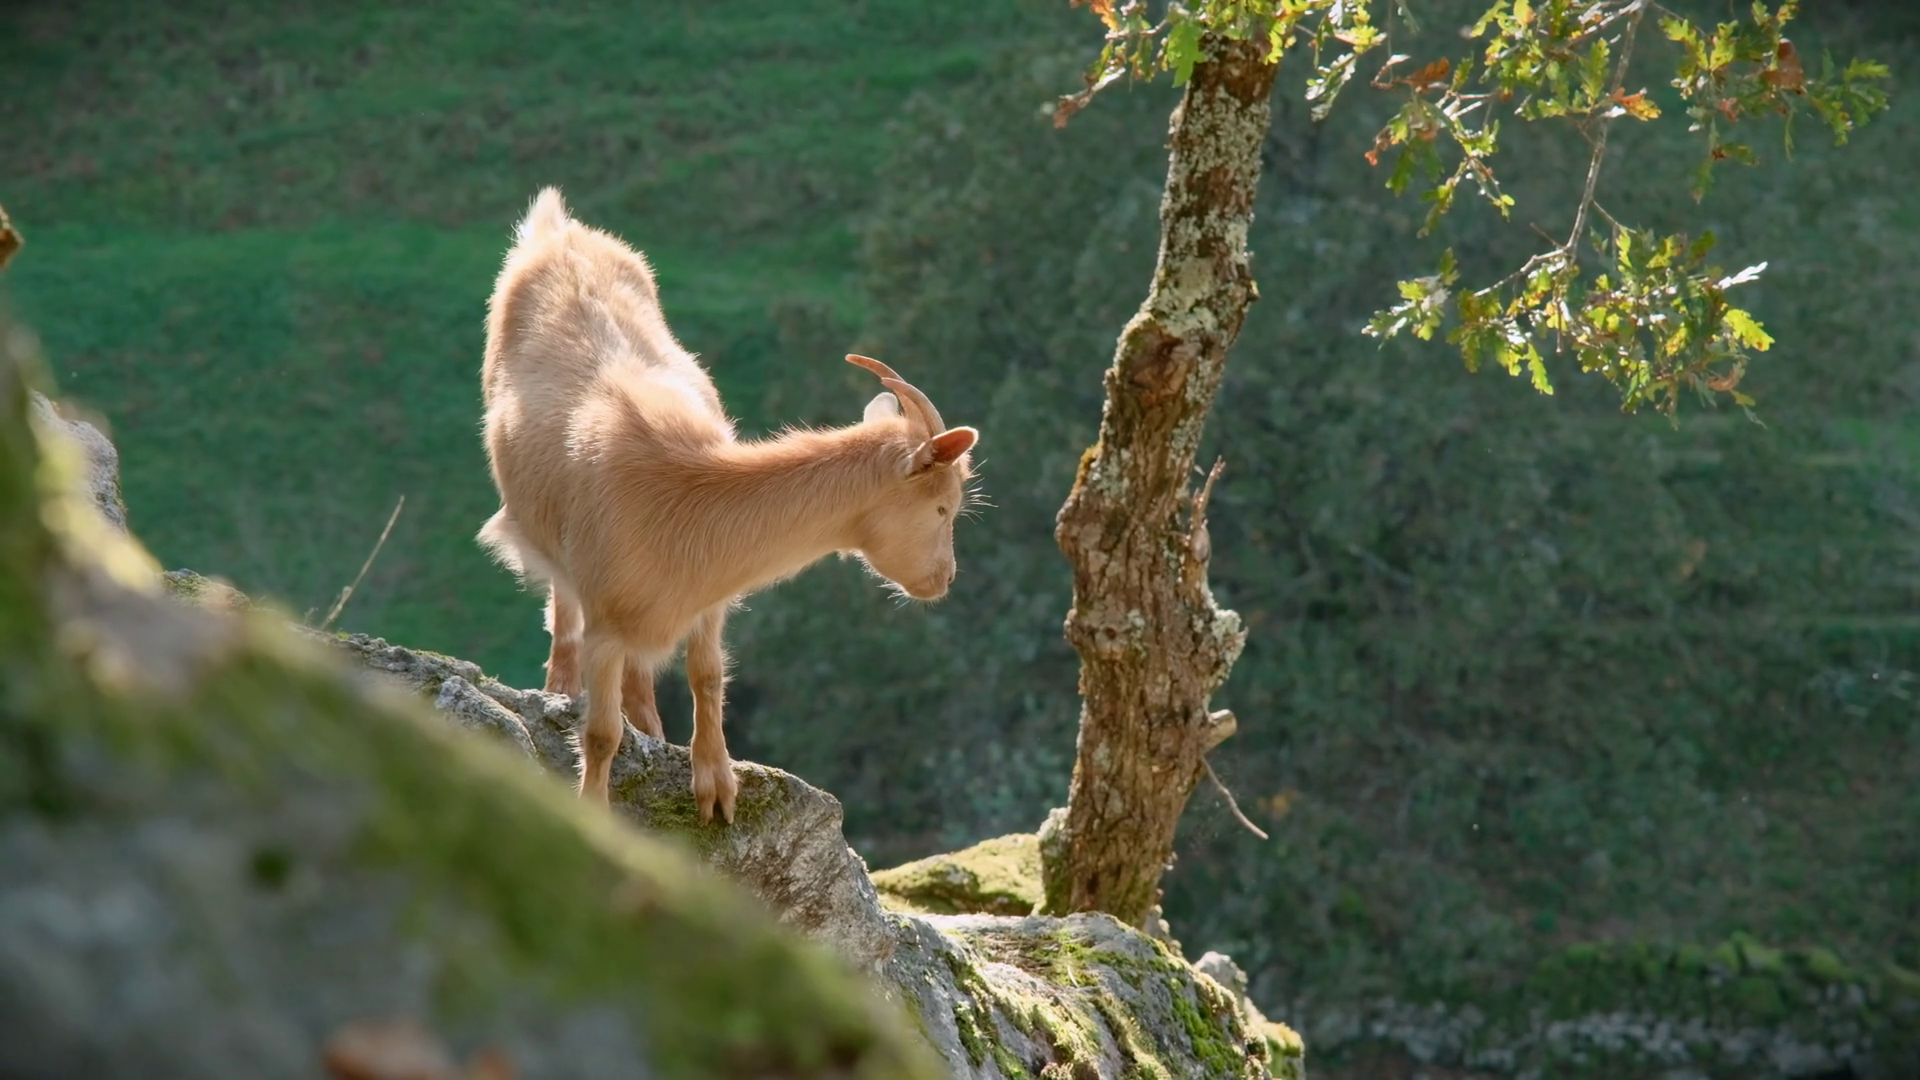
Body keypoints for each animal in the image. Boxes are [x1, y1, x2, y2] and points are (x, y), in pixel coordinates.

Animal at [476, 187, 979, 823]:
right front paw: (594, 812)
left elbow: (708, 674)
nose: (945, 578)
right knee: (561, 605)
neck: (684, 493)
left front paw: (716, 786)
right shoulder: (606, 624)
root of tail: (557, 230)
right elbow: (600, 734)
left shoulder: (710, 601)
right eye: (943, 508)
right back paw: (560, 686)